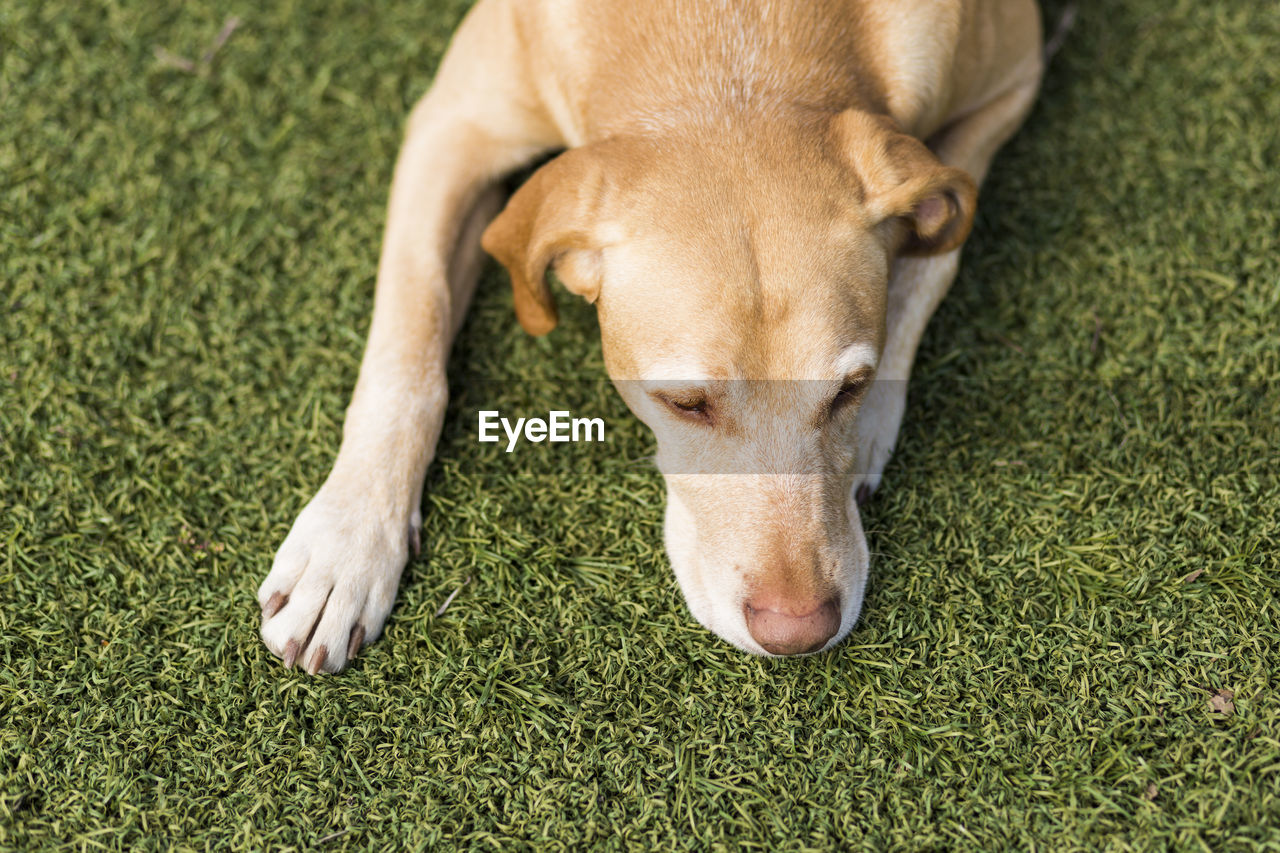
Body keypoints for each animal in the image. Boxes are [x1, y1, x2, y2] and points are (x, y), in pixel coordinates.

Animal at [254, 0, 1044, 671]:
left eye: (851, 387)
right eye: (683, 403)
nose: (798, 632)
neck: (731, 48)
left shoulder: (1015, 76)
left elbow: (932, 261)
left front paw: (875, 431)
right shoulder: (451, 127)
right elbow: (408, 337)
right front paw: (346, 544)